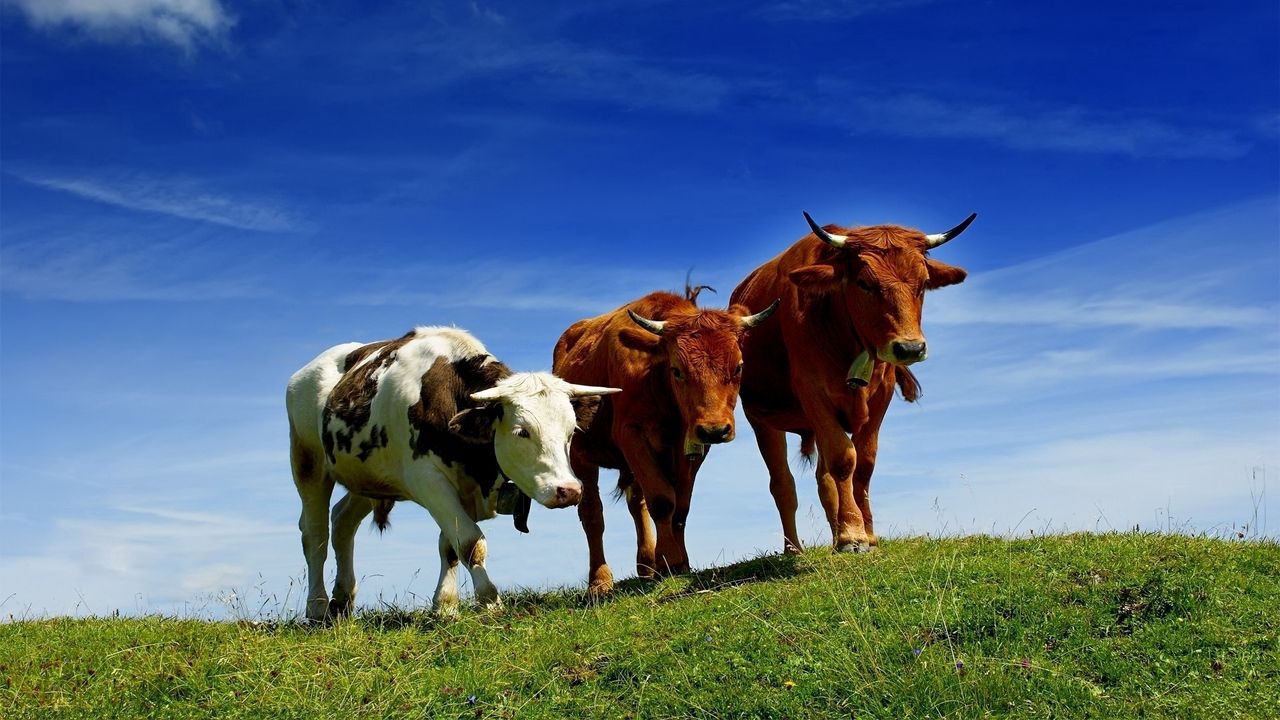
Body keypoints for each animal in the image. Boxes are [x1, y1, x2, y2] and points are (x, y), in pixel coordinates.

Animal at [288, 325, 616, 617]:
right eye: (522, 431)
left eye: (571, 431)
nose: (569, 491)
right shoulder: (428, 481)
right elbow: (470, 542)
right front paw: (489, 600)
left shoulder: (464, 488)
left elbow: (450, 545)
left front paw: (445, 605)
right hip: (308, 461)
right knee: (315, 533)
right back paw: (317, 607)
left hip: (368, 478)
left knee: (342, 523)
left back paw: (342, 600)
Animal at [552, 283, 773, 591]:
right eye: (677, 370)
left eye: (739, 366)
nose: (715, 429)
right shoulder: (631, 433)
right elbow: (662, 500)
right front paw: (668, 559)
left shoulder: (691, 446)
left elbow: (680, 505)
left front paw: (679, 563)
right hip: (581, 456)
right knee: (592, 514)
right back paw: (600, 581)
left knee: (636, 504)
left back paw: (646, 566)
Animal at [732, 210, 967, 550]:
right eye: (864, 283)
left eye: (923, 284)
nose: (910, 348)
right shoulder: (813, 391)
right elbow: (844, 459)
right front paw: (852, 534)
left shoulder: (881, 395)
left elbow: (864, 464)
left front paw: (865, 533)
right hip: (762, 420)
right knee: (782, 484)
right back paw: (794, 549)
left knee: (825, 479)